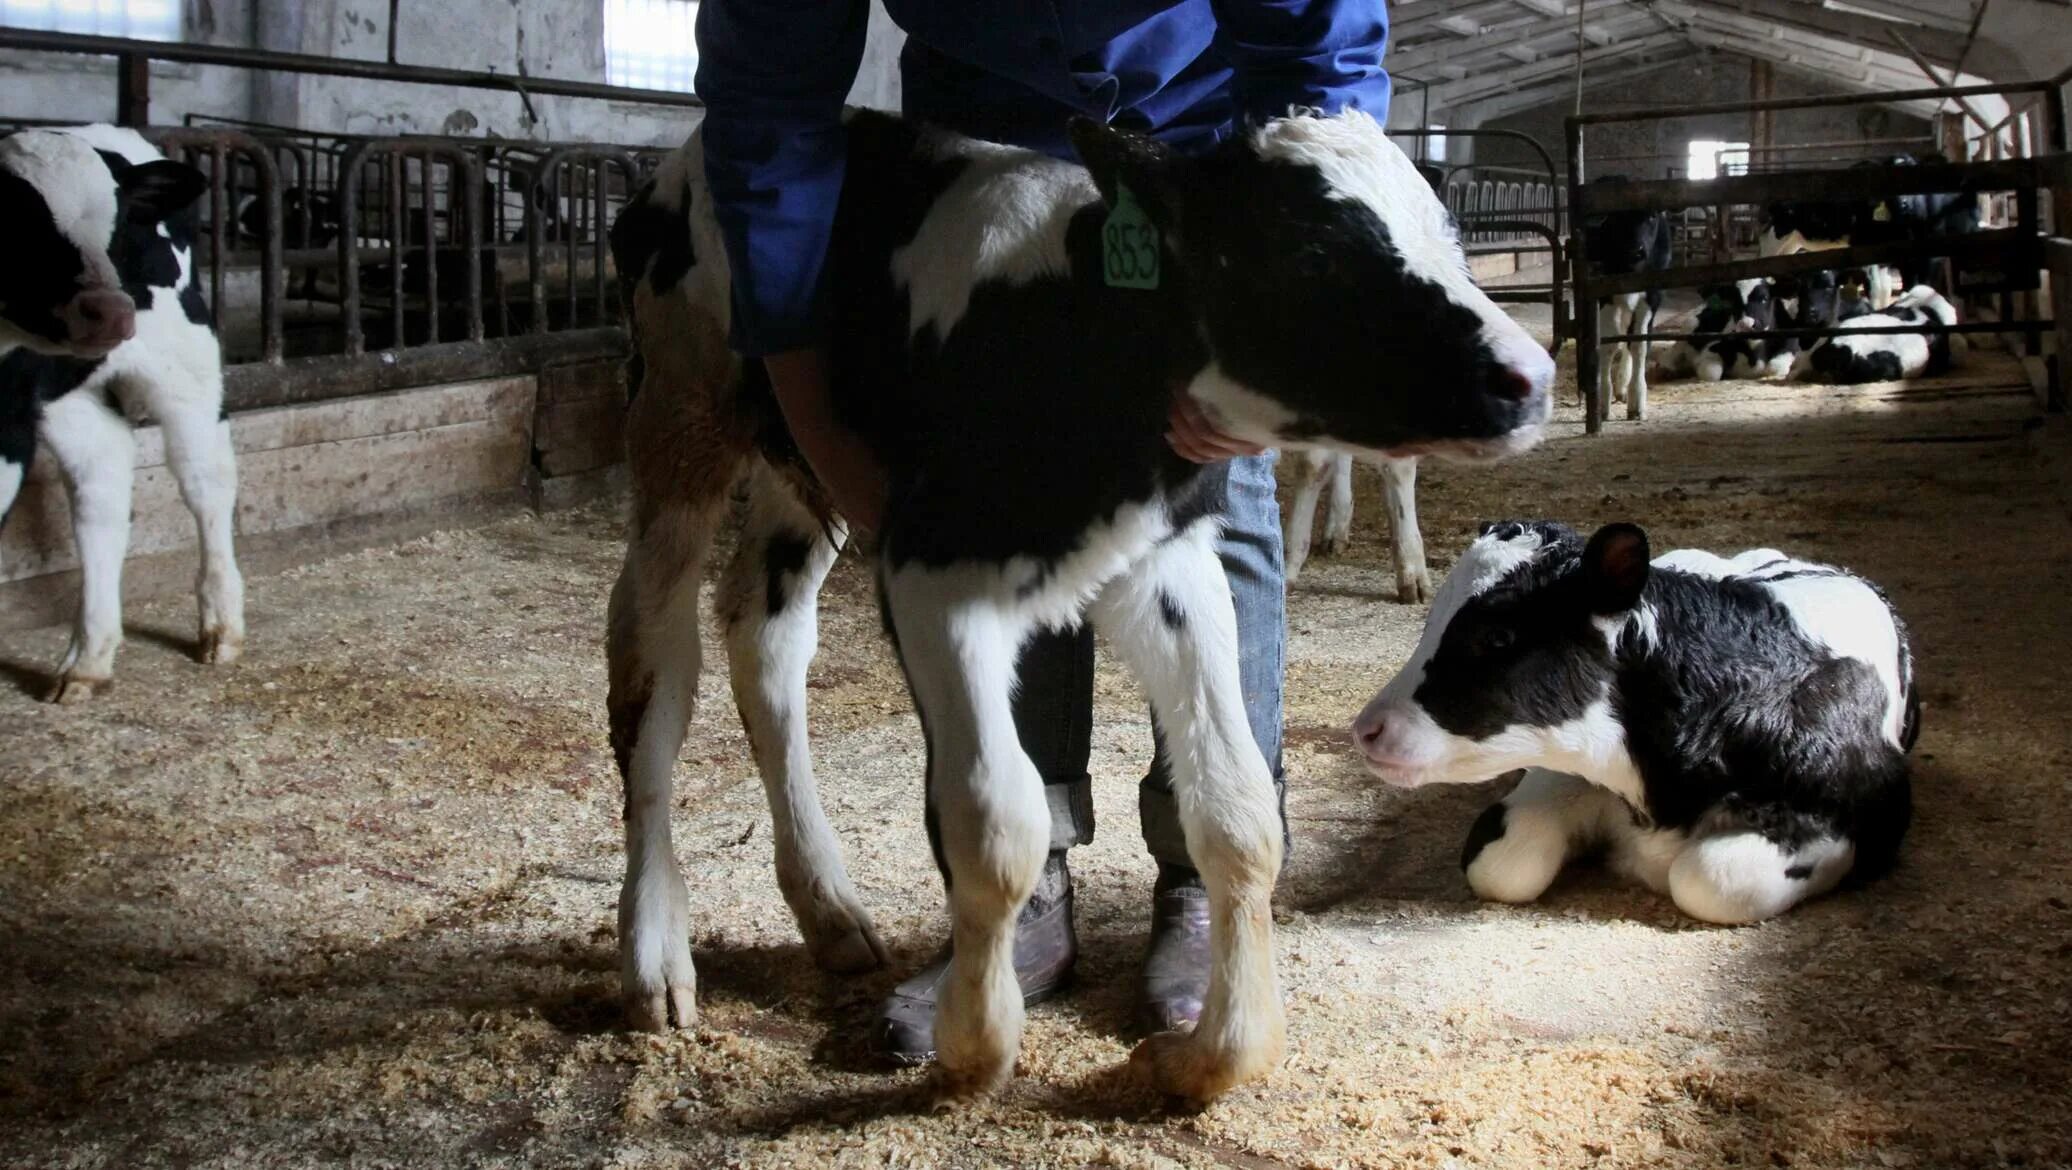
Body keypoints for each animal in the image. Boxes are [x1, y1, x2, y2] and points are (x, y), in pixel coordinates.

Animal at [1, 124, 244, 699]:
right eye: (16, 217)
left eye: (115, 223)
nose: (110, 311)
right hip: (71, 399)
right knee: (102, 495)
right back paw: (88, 659)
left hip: (186, 366)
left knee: (206, 483)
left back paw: (220, 628)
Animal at [605, 109, 1549, 1101]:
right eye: (1314, 254)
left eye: (1447, 233)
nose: (1529, 377)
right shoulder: (933, 574)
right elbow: (998, 826)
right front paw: (974, 1044)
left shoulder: (1171, 564)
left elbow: (1239, 811)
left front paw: (1217, 1050)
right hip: (677, 416)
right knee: (653, 669)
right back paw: (655, 952)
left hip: (802, 467)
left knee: (765, 633)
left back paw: (829, 912)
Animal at [1350, 519, 1914, 923]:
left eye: (1498, 636)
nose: (1367, 729)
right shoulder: (1562, 769)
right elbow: (1501, 863)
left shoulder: (1866, 809)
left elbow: (1709, 877)